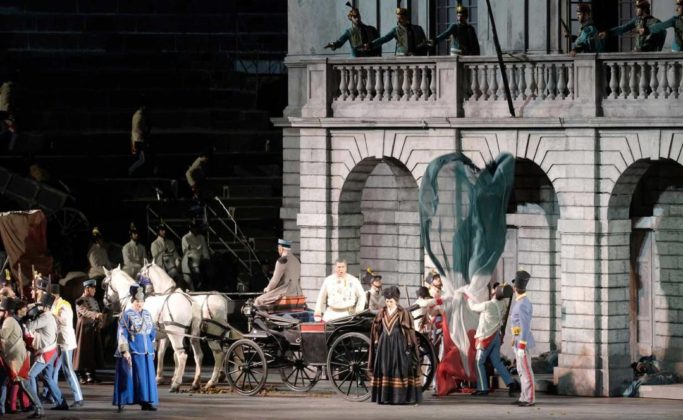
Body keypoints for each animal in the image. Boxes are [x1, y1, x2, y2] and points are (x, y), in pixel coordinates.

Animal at [138, 260, 236, 388]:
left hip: (211, 333)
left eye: (140, 273)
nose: (147, 292)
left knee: (218, 354)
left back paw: (212, 380)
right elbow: (173, 355)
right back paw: (213, 378)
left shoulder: (168, 334)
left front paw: (162, 378)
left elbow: (163, 352)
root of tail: (222, 299)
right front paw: (173, 376)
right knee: (221, 351)